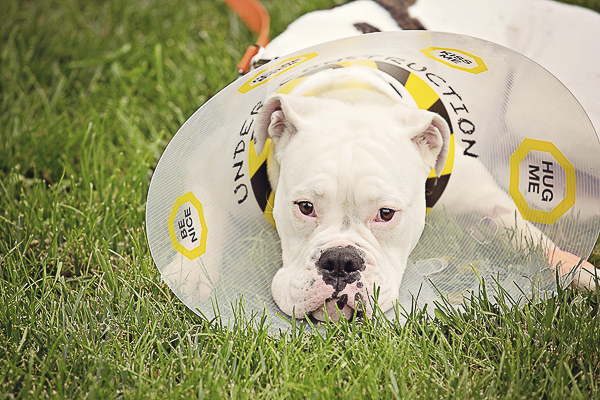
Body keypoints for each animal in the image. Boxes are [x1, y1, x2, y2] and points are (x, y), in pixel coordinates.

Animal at [251, 0, 600, 320]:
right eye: (305, 207)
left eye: (386, 214)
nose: (340, 261)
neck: (349, 92)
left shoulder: (488, 202)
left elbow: (535, 239)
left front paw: (581, 273)